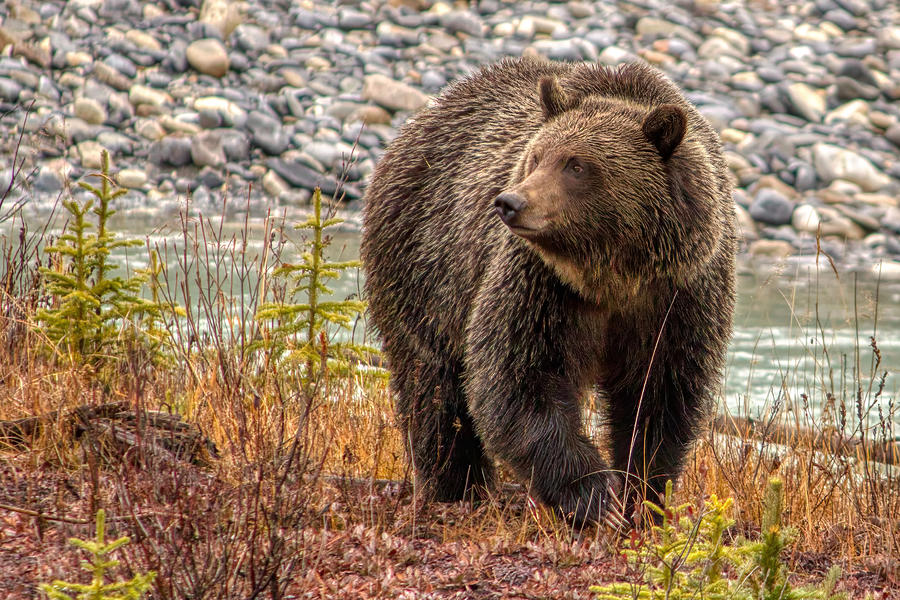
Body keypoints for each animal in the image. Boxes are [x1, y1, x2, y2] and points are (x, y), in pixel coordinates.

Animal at [358, 57, 740, 524]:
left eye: (577, 165)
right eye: (536, 156)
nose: (510, 202)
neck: (614, 276)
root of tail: (419, 120)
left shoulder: (678, 297)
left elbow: (660, 398)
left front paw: (642, 496)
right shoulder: (540, 285)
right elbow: (520, 378)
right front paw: (593, 496)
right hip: (425, 269)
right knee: (433, 387)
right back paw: (457, 488)